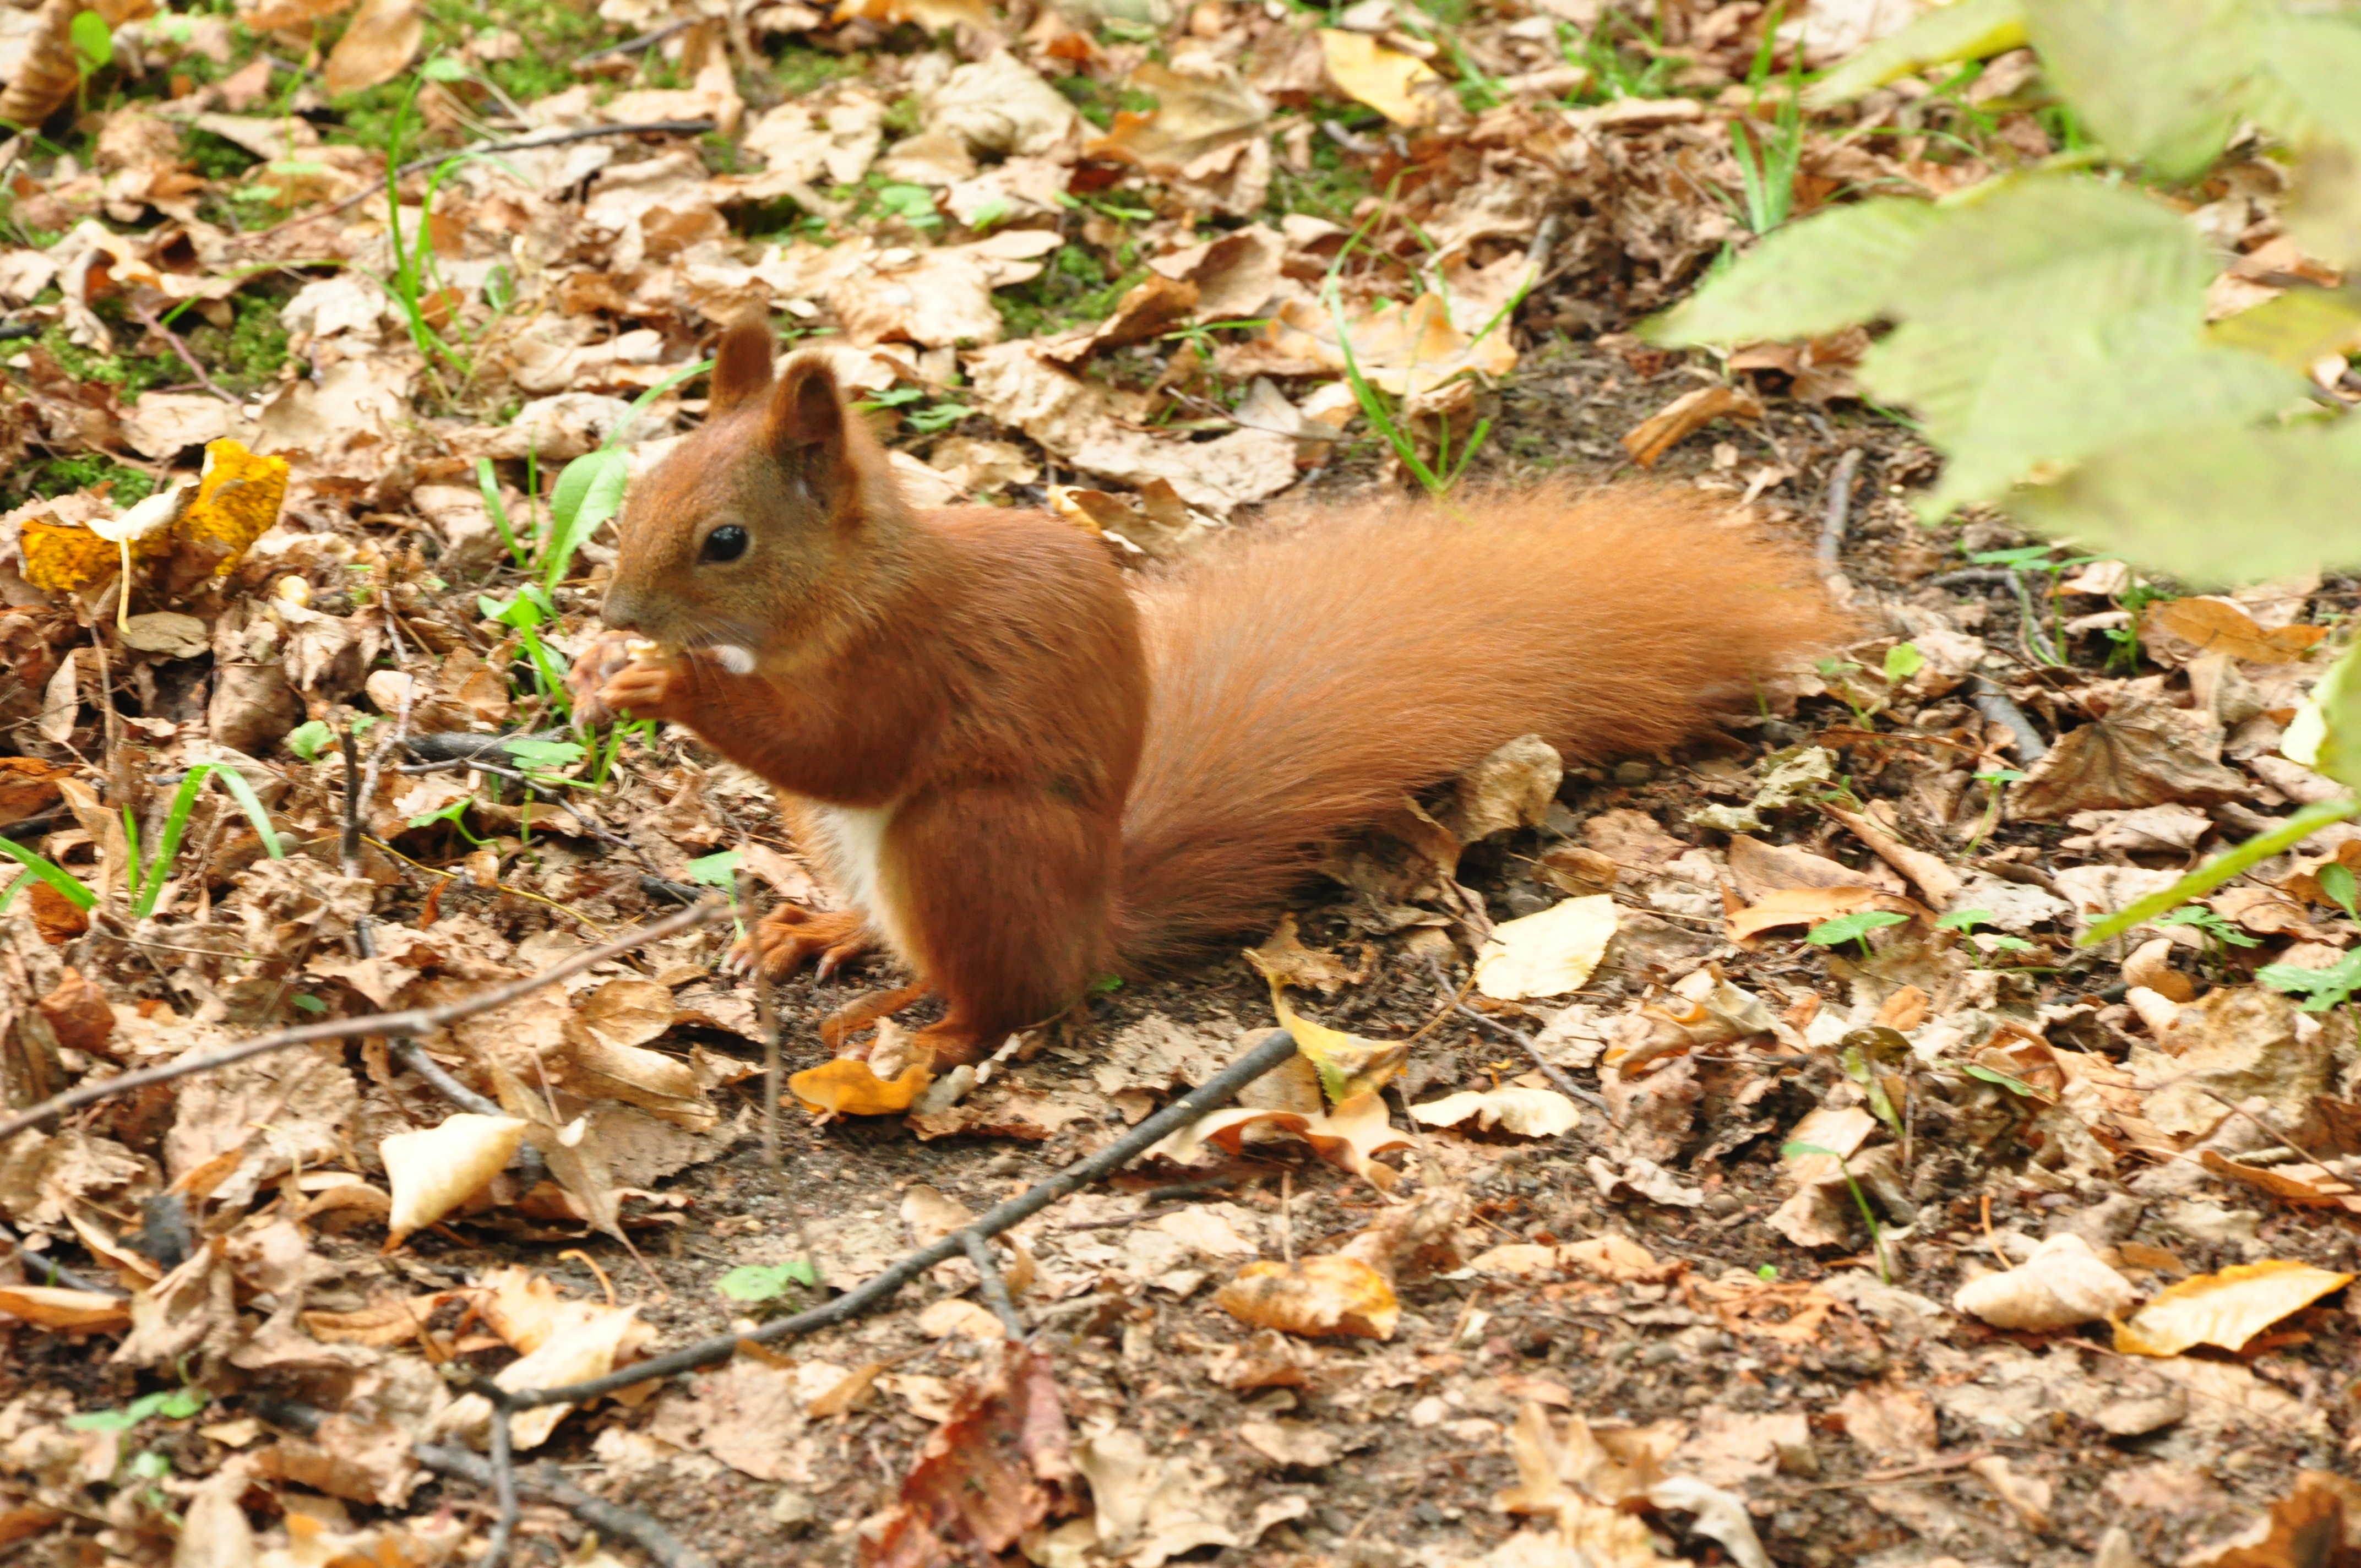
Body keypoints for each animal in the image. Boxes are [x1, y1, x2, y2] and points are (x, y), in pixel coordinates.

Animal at [571, 323, 1841, 1072]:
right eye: (639, 489)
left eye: (725, 540)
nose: (621, 607)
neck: (844, 589)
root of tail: (1091, 919)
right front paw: (600, 668)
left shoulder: (913, 660)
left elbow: (848, 749)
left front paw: (665, 680)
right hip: (851, 846)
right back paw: (830, 930)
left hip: (970, 838)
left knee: (1004, 992)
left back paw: (929, 1031)